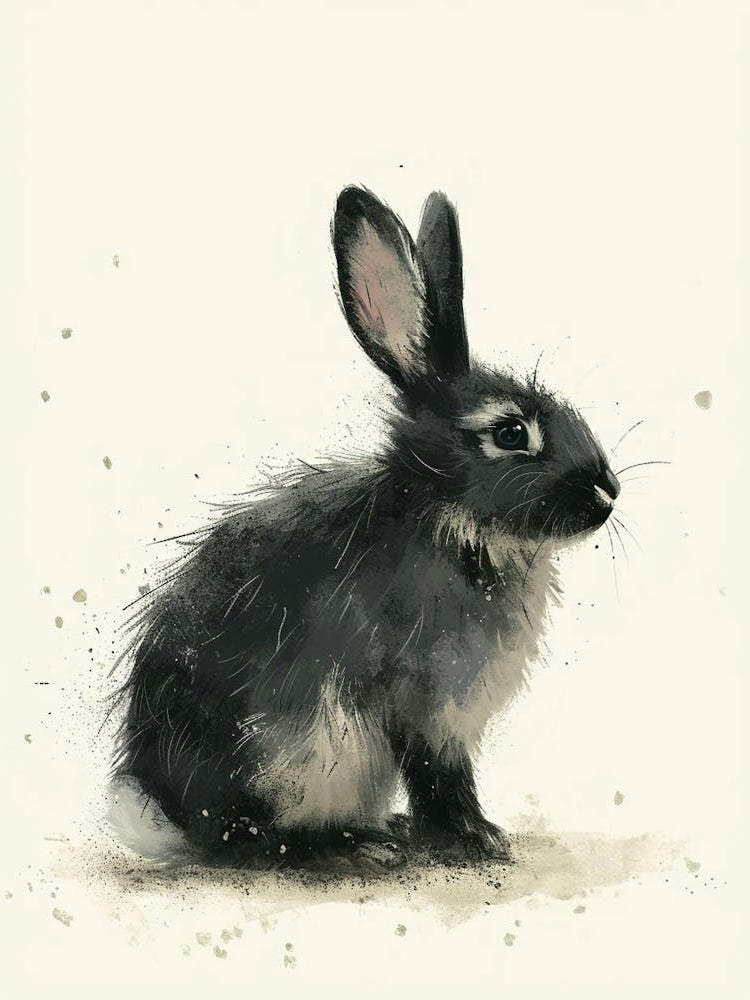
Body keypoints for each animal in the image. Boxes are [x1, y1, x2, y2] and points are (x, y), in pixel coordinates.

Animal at [113, 186, 621, 870]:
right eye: (511, 433)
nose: (608, 493)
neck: (448, 519)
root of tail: (165, 813)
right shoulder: (422, 703)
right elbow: (439, 777)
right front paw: (476, 841)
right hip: (294, 755)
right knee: (256, 840)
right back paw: (355, 846)